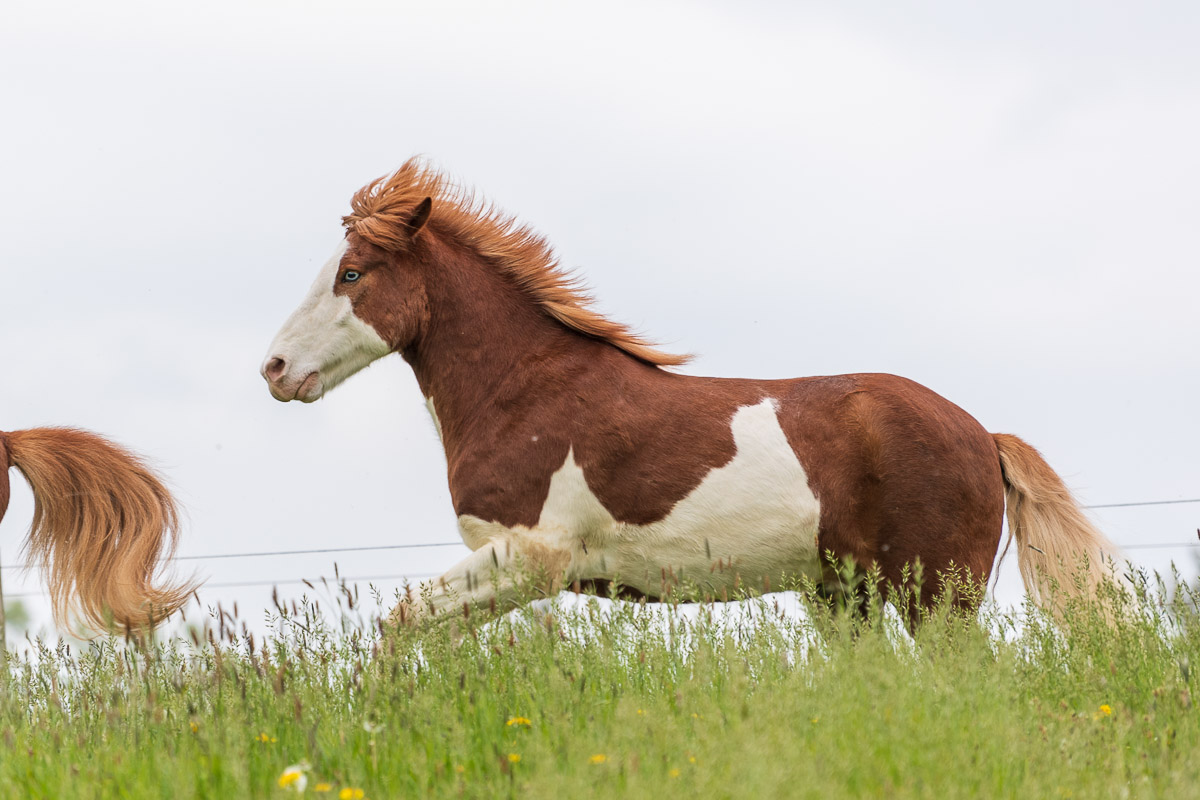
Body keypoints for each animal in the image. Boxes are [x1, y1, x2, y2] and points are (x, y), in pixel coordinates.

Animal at [260, 158, 1118, 623]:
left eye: (351, 275)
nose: (273, 369)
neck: (522, 392)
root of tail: (982, 433)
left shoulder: (528, 555)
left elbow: (401, 623)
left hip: (935, 594)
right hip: (843, 595)